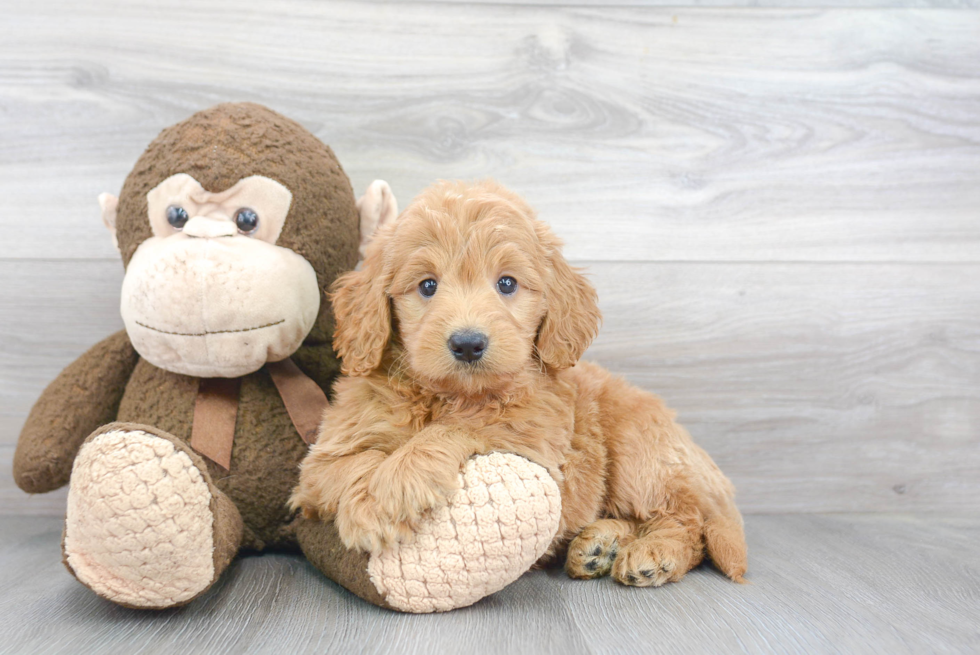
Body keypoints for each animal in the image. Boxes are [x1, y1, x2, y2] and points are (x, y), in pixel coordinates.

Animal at [288, 181, 748, 588]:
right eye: (427, 285)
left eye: (506, 283)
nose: (468, 343)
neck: (448, 395)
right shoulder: (320, 462)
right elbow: (348, 464)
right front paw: (371, 503)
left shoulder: (538, 442)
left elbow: (465, 426)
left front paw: (392, 489)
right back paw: (599, 545)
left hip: (641, 451)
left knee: (687, 521)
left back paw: (655, 554)